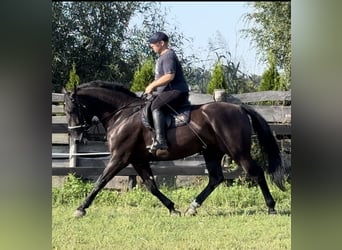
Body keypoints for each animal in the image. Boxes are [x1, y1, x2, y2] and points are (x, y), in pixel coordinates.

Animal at [63, 80, 286, 217]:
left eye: (72, 109)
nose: (76, 135)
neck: (122, 115)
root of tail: (238, 107)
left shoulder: (120, 157)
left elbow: (100, 182)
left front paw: (81, 209)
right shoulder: (138, 159)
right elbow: (151, 186)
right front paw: (172, 208)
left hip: (238, 151)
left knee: (256, 173)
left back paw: (271, 207)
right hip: (211, 152)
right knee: (215, 178)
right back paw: (192, 208)